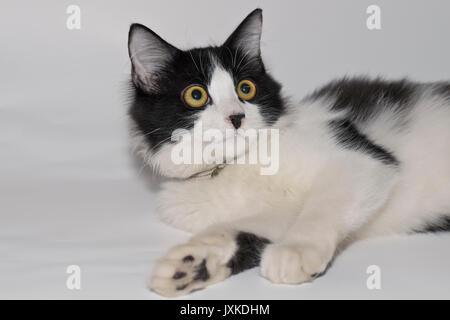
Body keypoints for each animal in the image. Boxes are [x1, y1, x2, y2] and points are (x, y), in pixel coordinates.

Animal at [125, 8, 450, 298]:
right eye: (196, 95)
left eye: (246, 88)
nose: (237, 117)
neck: (238, 165)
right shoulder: (264, 212)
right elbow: (243, 228)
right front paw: (190, 263)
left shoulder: (362, 156)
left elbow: (325, 203)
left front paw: (297, 249)